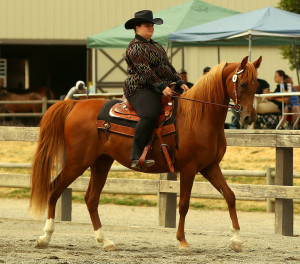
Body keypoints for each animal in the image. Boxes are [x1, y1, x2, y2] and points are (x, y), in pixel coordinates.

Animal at [29, 55, 262, 252]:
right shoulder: (189, 169)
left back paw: (105, 241)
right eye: (242, 84)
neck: (198, 117)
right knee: (54, 189)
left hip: (101, 162)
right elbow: (184, 204)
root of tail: (74, 104)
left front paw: (236, 240)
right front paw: (182, 241)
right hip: (77, 162)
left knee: (91, 199)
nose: (249, 118)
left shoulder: (210, 167)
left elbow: (230, 196)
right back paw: (45, 237)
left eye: (256, 85)